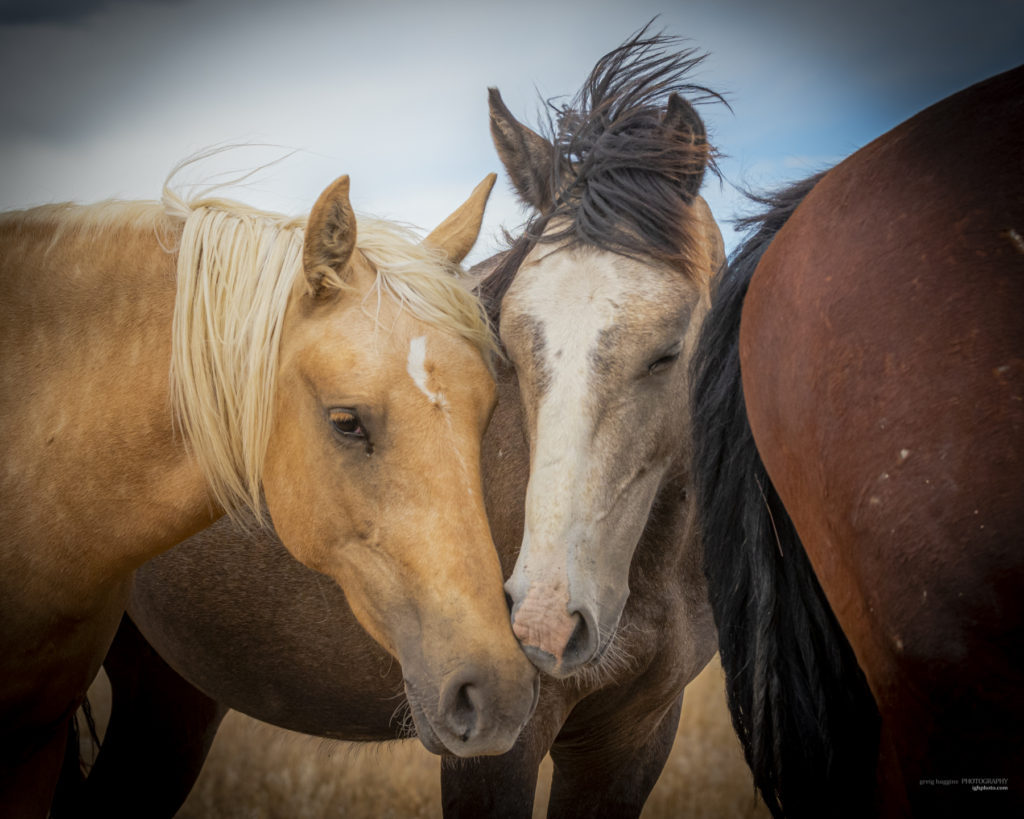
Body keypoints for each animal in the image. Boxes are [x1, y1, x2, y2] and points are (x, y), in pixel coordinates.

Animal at [61, 30, 729, 818]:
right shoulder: (495, 741)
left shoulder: (636, 735)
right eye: (509, 343)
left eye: (668, 350)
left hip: (171, 690)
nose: (544, 620)